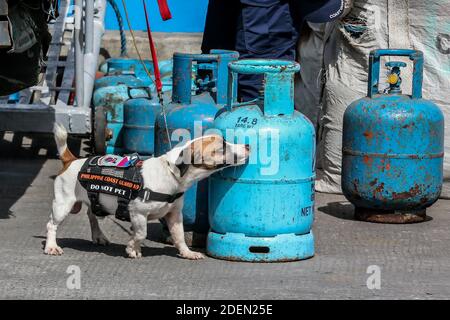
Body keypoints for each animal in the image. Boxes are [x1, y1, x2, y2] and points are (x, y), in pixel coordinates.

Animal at [44, 124, 250, 258]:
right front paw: (132, 248)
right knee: (51, 225)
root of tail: (71, 160)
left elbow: (179, 236)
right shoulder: (138, 213)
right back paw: (51, 246)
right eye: (222, 146)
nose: (248, 145)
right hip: (63, 205)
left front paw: (187, 252)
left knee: (91, 215)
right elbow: (141, 233)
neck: (170, 173)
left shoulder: (175, 215)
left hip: (94, 202)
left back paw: (98, 236)